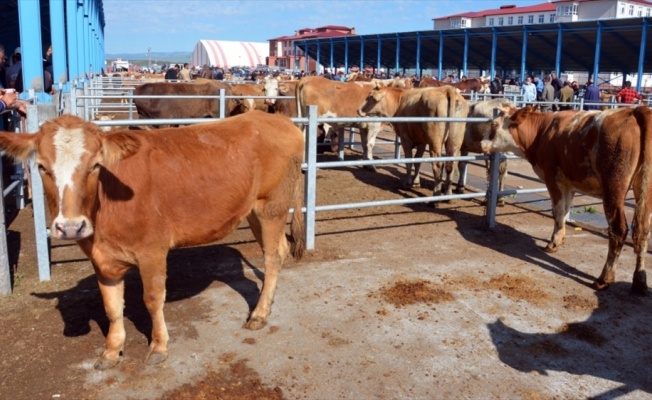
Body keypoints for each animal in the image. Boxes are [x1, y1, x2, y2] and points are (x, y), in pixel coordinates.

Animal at [0, 111, 306, 370]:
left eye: (95, 165)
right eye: (42, 167)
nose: (72, 227)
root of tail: (277, 118)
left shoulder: (152, 249)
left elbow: (152, 299)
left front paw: (158, 346)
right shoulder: (101, 258)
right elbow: (111, 305)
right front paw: (111, 351)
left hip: (272, 206)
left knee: (272, 256)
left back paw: (259, 314)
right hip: (253, 210)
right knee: (278, 249)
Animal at [482, 104, 652, 296]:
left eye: (494, 125)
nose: (481, 144)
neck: (542, 131)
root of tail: (636, 110)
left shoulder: (552, 178)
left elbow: (557, 211)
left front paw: (553, 243)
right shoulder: (569, 183)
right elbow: (565, 210)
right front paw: (561, 238)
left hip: (614, 186)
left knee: (619, 230)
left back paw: (604, 278)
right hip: (645, 188)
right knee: (643, 231)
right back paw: (639, 281)